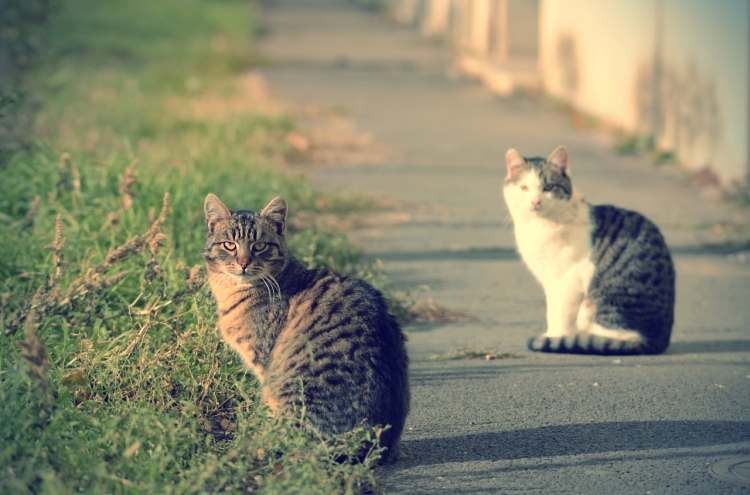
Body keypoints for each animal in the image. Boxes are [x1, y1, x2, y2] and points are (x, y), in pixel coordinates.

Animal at [203, 193, 412, 462]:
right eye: (229, 245)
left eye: (260, 246)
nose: (243, 263)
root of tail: (374, 447)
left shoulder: (265, 365)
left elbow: (269, 415)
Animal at [506, 145, 676, 354]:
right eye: (524, 187)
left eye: (549, 187)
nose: (535, 202)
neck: (539, 227)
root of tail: (659, 341)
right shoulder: (549, 280)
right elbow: (551, 311)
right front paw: (553, 335)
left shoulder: (568, 279)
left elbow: (560, 314)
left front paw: (555, 338)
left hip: (598, 305)